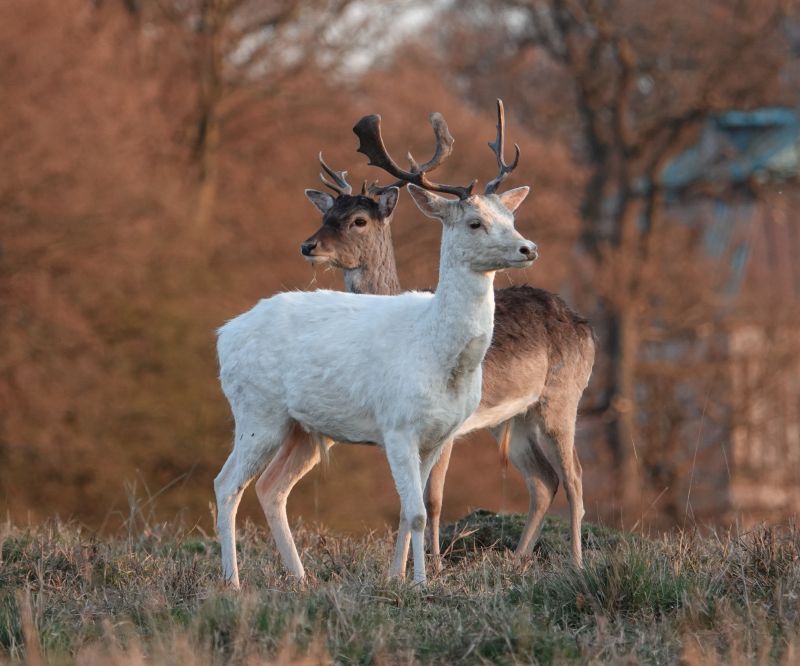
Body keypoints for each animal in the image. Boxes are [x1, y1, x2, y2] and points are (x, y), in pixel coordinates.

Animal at [214, 104, 537, 586]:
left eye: (510, 219)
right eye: (475, 222)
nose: (527, 248)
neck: (440, 358)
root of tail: (224, 335)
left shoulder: (440, 435)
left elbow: (410, 510)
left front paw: (397, 578)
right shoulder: (397, 425)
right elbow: (417, 512)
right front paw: (420, 583)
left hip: (303, 428)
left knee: (272, 487)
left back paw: (302, 579)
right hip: (257, 411)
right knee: (227, 484)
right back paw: (233, 582)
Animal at [295, 101, 596, 575]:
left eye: (359, 220)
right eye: (325, 217)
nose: (309, 246)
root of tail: (581, 323)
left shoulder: (453, 428)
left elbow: (434, 498)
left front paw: (434, 565)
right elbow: (412, 497)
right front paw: (405, 568)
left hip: (563, 397)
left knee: (576, 479)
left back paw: (577, 563)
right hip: (516, 418)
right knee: (544, 481)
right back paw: (516, 560)